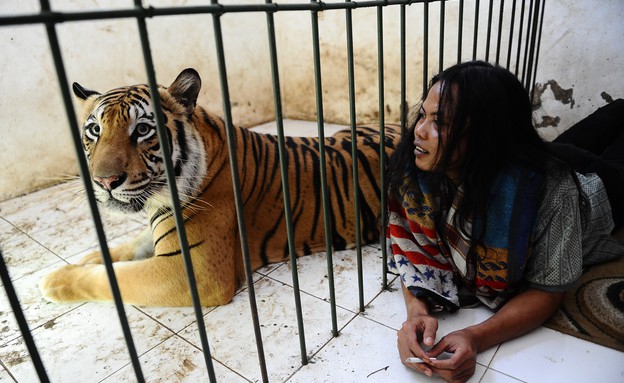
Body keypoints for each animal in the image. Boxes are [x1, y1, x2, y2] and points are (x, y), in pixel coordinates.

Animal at [37, 69, 400, 308]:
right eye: (95, 131)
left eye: (141, 130)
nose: (104, 181)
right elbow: (126, 248)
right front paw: (88, 258)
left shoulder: (192, 271)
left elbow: (115, 277)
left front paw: (55, 281)